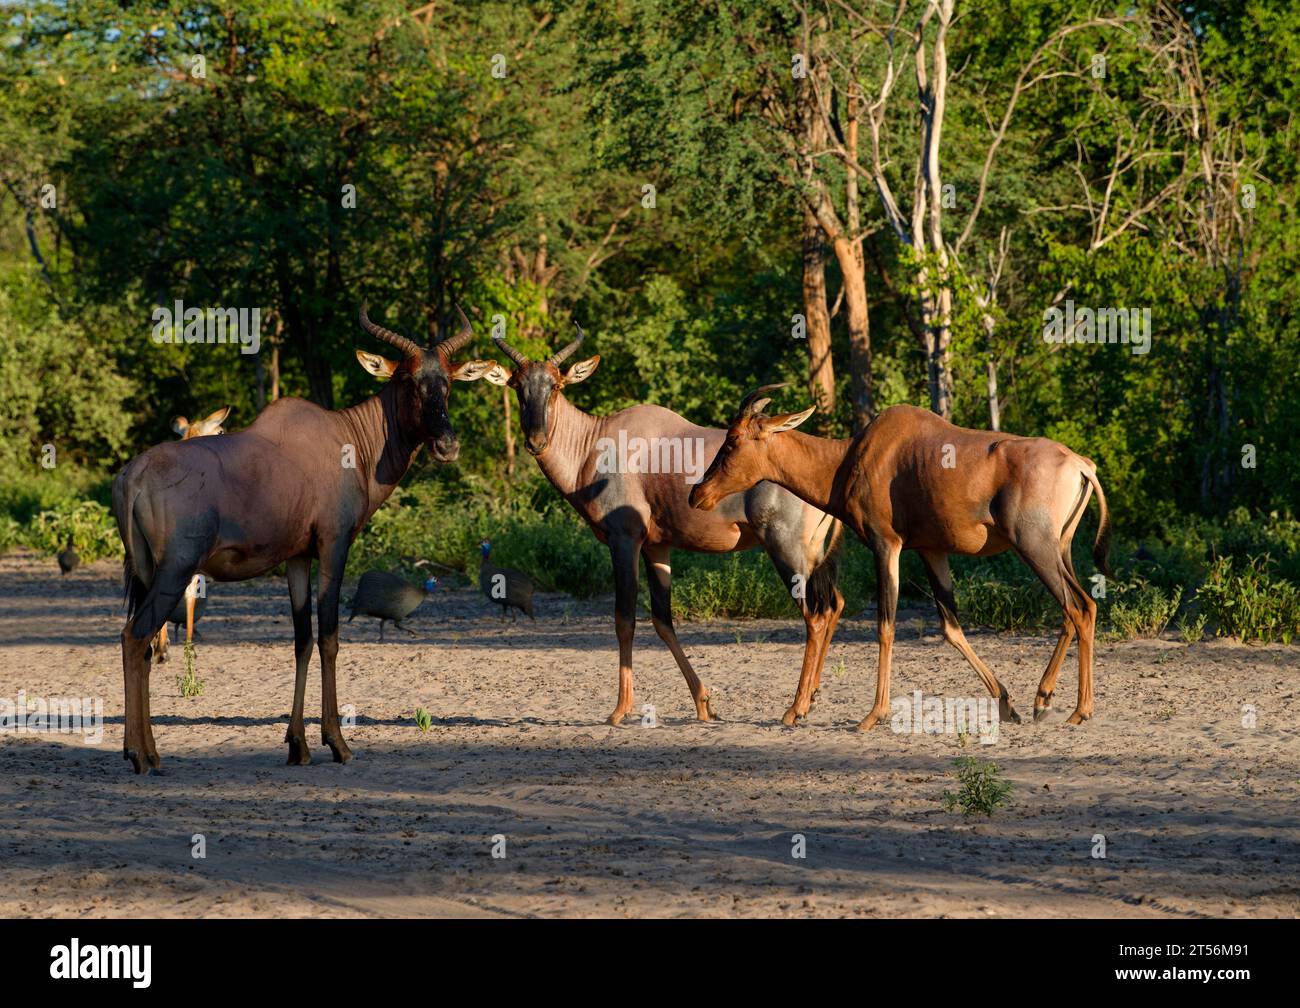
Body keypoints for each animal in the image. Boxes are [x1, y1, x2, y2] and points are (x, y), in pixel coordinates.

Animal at [486, 327, 842, 728]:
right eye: (518, 385)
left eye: (556, 385)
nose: (536, 441)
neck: (597, 443)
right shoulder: (657, 546)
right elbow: (662, 620)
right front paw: (704, 704)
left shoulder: (624, 540)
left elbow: (624, 618)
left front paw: (619, 710)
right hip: (816, 556)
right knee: (834, 605)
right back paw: (810, 698)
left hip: (786, 551)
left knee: (815, 614)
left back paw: (795, 709)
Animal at [686, 390, 1112, 728]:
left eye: (733, 439)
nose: (697, 495)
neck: (855, 454)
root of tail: (1080, 464)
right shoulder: (930, 550)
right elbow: (950, 627)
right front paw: (1007, 705)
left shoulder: (886, 545)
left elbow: (885, 627)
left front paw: (872, 715)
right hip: (1058, 550)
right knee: (1075, 610)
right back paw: (1043, 700)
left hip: (1034, 547)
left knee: (1081, 607)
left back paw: (1080, 710)